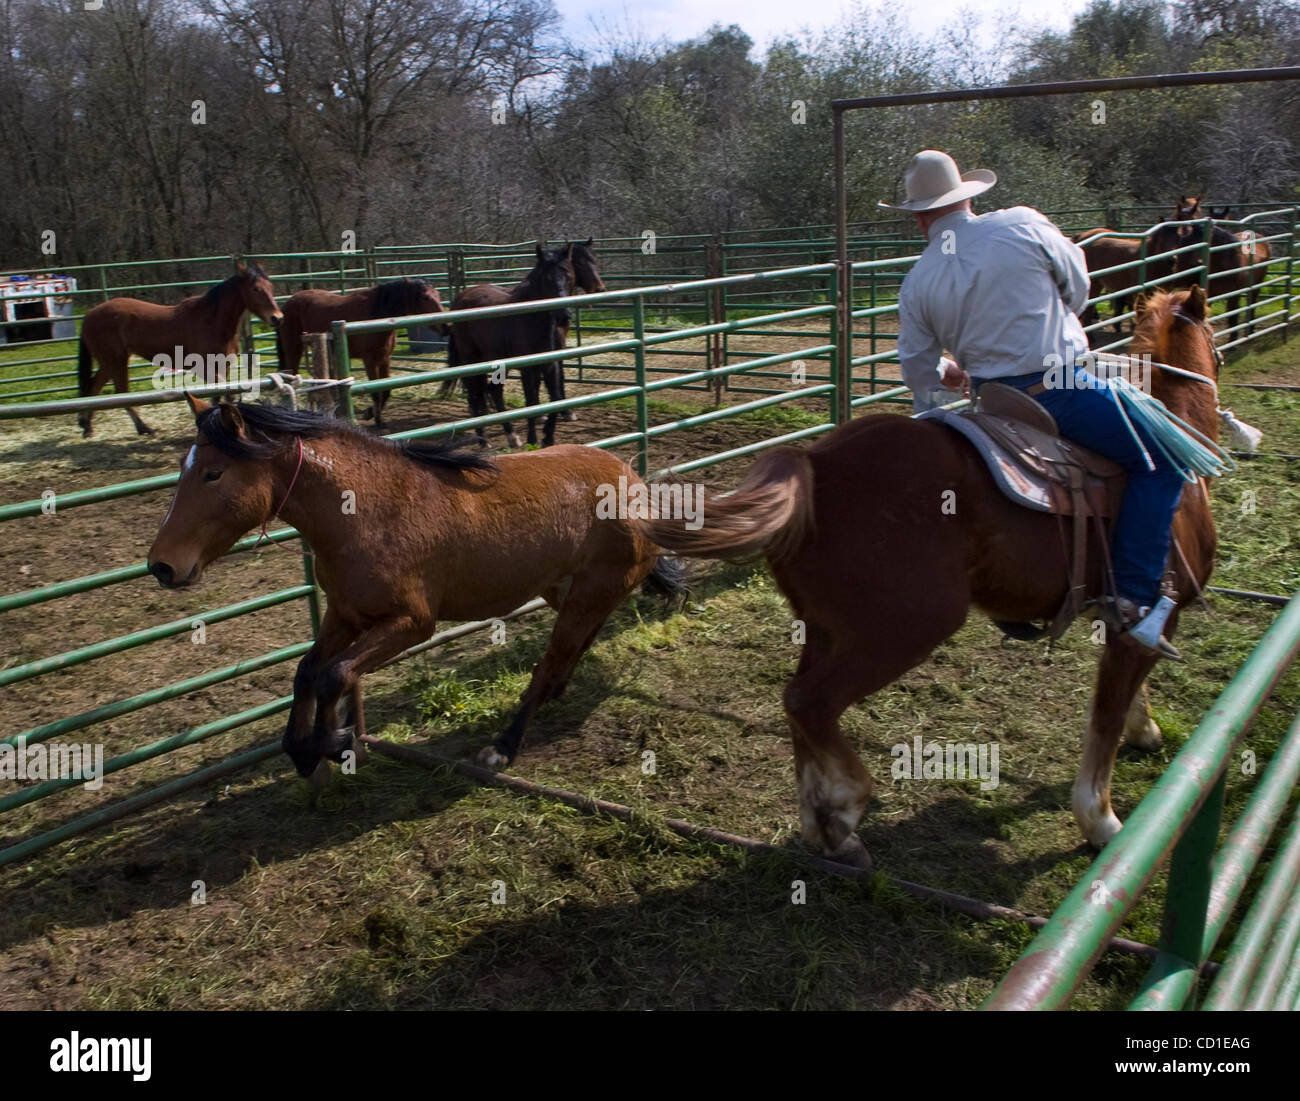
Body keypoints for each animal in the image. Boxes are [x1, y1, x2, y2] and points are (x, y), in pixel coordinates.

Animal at [77, 263, 281, 438]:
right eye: (256, 289)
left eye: (270, 287)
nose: (277, 318)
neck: (213, 322)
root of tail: (89, 314)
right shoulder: (204, 369)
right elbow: (227, 394)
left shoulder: (223, 367)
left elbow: (219, 396)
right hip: (115, 360)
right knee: (120, 391)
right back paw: (143, 428)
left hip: (109, 362)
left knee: (95, 387)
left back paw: (87, 427)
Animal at [146, 395, 683, 782]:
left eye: (214, 472)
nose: (162, 566)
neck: (368, 510)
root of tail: (634, 480)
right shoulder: (346, 613)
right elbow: (307, 671)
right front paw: (301, 749)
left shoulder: (411, 623)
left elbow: (334, 675)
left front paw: (332, 744)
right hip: (565, 589)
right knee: (581, 641)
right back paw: (555, 693)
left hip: (588, 591)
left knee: (554, 656)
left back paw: (503, 747)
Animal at [277, 278, 446, 430]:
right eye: (425, 298)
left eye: (438, 294)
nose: (445, 325)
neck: (376, 315)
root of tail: (287, 304)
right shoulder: (369, 360)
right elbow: (375, 391)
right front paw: (378, 421)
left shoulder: (385, 359)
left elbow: (386, 389)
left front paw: (370, 413)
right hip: (294, 350)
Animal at [443, 240, 605, 449]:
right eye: (546, 279)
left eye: (569, 275)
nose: (564, 314)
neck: (534, 319)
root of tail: (460, 299)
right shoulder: (528, 368)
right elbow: (531, 403)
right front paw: (533, 440)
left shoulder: (550, 364)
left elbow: (554, 397)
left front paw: (548, 437)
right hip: (472, 360)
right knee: (476, 395)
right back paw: (484, 440)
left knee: (493, 391)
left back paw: (511, 436)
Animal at [640, 285, 1220, 867]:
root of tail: (812, 463)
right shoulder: (1150, 619)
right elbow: (1106, 715)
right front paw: (1101, 820)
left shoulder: (1119, 625)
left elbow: (1128, 695)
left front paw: (1144, 729)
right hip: (907, 628)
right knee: (811, 701)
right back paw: (845, 809)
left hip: (826, 627)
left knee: (796, 700)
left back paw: (822, 823)